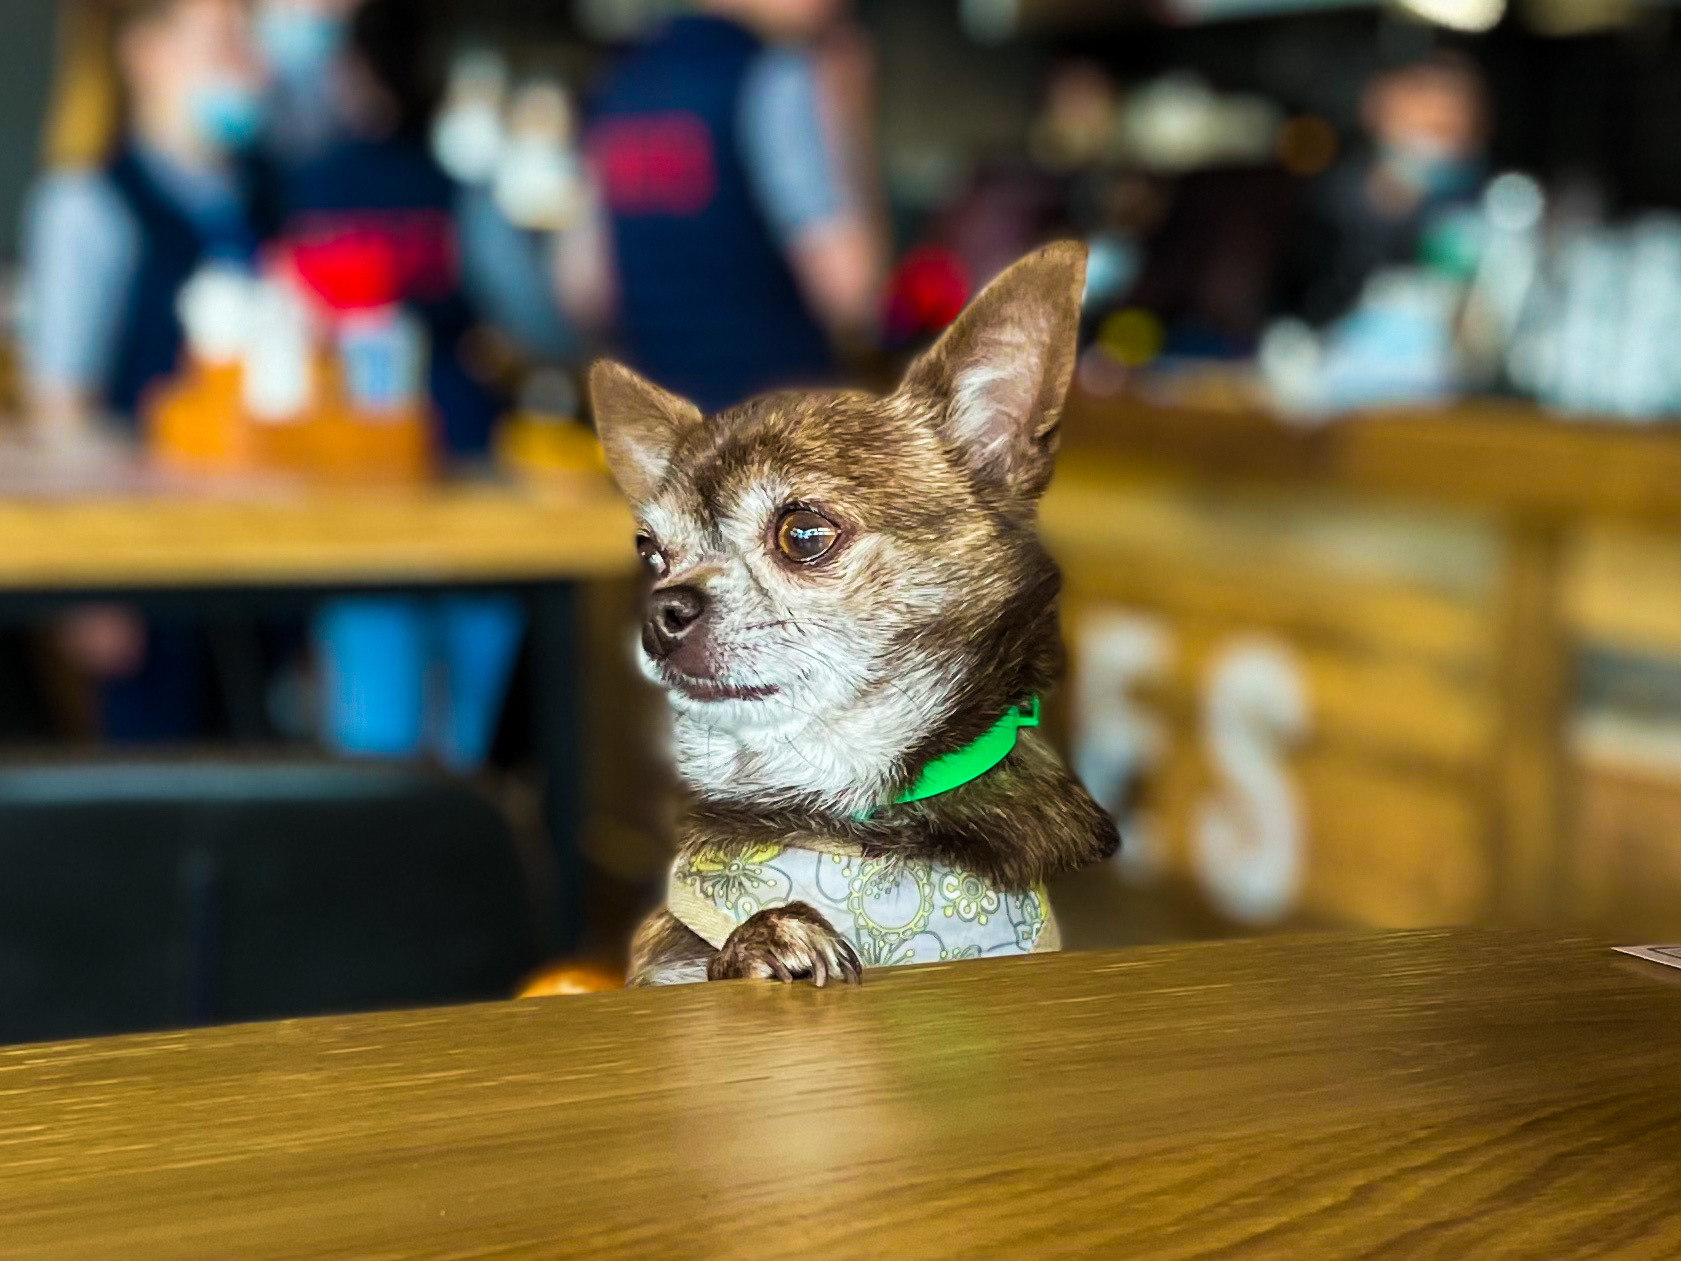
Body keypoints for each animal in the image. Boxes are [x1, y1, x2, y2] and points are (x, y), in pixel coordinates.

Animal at [591, 238, 1116, 988]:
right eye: (652, 555)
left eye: (803, 533)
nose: (661, 609)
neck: (844, 802)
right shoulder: (664, 963)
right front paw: (766, 936)